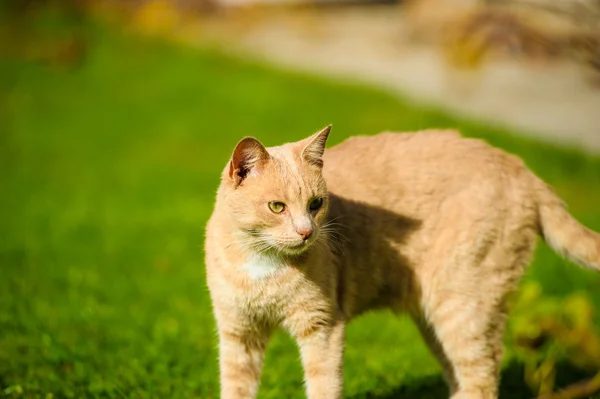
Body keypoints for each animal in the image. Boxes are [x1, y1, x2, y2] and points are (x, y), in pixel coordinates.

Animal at [205, 126, 600, 399]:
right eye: (277, 207)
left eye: (316, 204)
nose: (307, 232)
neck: (261, 263)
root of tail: (519, 167)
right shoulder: (238, 332)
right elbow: (236, 387)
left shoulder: (322, 328)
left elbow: (323, 386)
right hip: (436, 318)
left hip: (462, 305)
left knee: (482, 378)